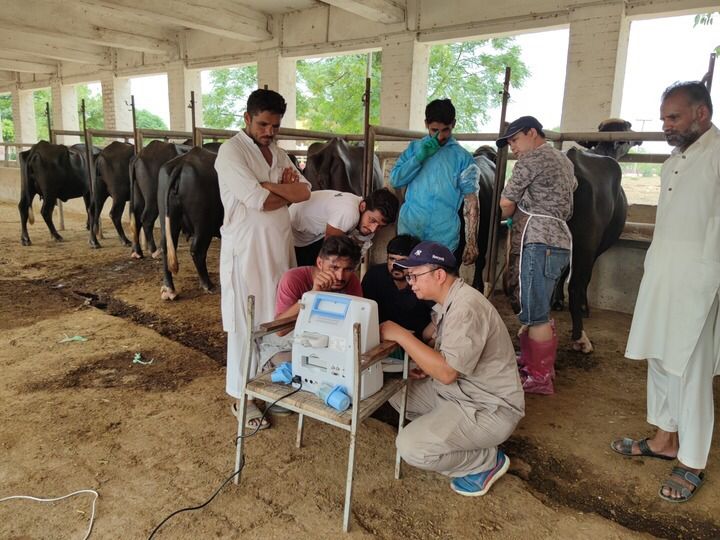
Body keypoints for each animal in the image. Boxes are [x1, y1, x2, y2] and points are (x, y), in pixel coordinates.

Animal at [158, 146, 221, 302]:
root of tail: (182, 163)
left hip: (168, 217)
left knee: (166, 246)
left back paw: (169, 289)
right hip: (203, 224)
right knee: (197, 250)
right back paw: (208, 285)